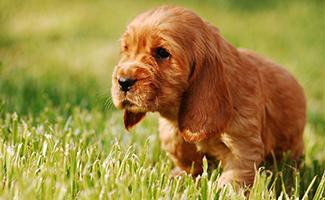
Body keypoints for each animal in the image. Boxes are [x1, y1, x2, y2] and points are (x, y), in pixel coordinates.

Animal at [110, 6, 306, 188]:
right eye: (126, 50)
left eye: (162, 52)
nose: (123, 81)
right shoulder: (171, 132)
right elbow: (180, 149)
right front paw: (179, 176)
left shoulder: (243, 142)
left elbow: (236, 173)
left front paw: (225, 191)